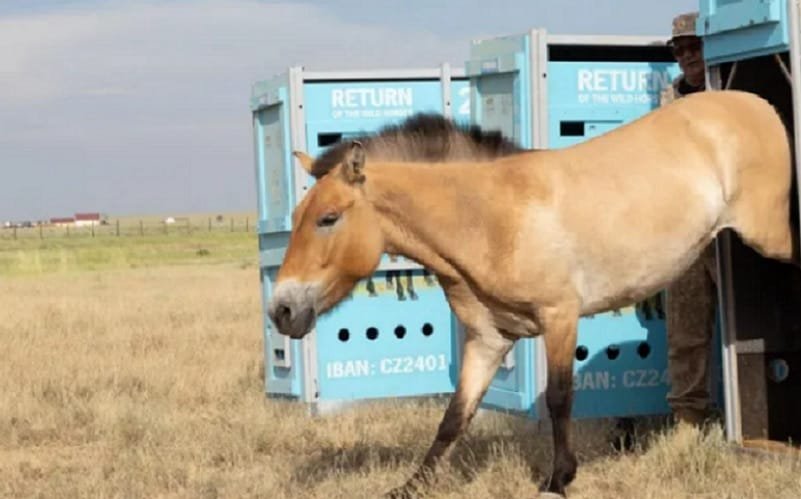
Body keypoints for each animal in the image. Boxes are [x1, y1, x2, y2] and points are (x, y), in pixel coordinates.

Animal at [267, 89, 796, 497]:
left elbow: (559, 398)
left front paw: (558, 479)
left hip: (772, 236)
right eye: (297, 218)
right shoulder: (488, 341)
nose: (282, 310)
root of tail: (757, 106)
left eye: (328, 218)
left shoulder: (559, 316)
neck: (491, 217)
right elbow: (454, 416)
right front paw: (410, 486)